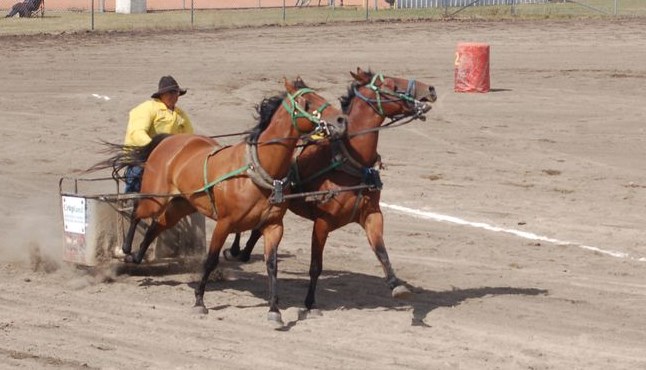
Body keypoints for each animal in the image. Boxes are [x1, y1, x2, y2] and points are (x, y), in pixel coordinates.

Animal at [98, 78, 346, 324]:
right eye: (307, 101)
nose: (341, 120)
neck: (256, 170)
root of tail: (168, 141)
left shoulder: (273, 225)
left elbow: (272, 265)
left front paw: (274, 309)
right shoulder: (224, 223)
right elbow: (210, 260)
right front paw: (199, 301)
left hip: (181, 204)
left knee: (157, 225)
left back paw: (137, 257)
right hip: (155, 197)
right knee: (137, 212)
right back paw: (126, 249)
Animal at [225, 68, 438, 314]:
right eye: (392, 86)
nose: (430, 89)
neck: (349, 162)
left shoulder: (372, 214)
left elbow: (381, 251)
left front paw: (396, 285)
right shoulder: (322, 223)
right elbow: (316, 266)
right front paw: (309, 302)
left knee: (258, 230)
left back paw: (242, 252)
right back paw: (235, 249)